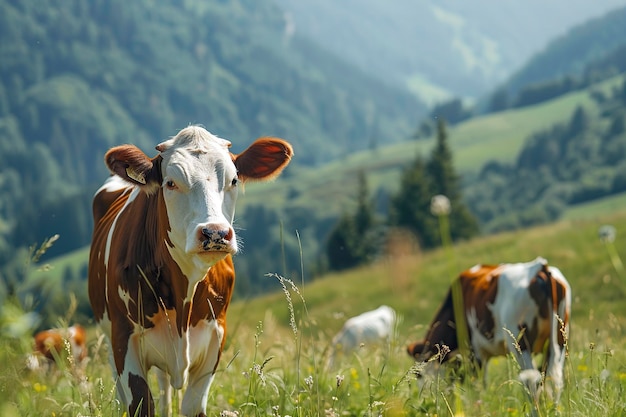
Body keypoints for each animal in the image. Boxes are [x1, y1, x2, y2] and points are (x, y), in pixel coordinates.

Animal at [88, 126, 292, 416]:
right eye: (170, 183)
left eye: (233, 180)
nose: (215, 233)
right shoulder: (123, 338)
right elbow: (140, 403)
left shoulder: (216, 337)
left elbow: (192, 406)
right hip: (108, 338)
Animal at [408, 255, 568, 402]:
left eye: (418, 374)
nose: (423, 399)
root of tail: (539, 268)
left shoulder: (476, 352)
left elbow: (478, 387)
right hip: (560, 339)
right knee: (555, 381)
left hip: (520, 343)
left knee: (531, 383)